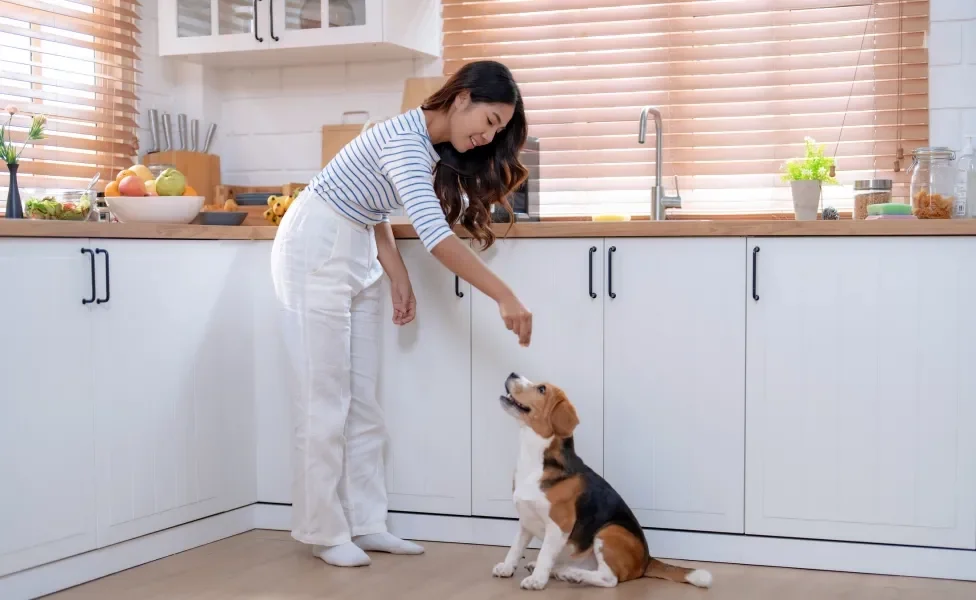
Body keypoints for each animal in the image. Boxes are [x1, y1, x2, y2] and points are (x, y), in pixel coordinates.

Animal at [496, 372, 708, 592]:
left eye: (541, 389)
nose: (512, 373)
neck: (535, 459)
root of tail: (647, 560)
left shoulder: (559, 524)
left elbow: (545, 553)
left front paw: (537, 580)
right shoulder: (525, 521)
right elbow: (515, 547)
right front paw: (507, 567)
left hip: (609, 531)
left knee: (609, 579)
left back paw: (572, 574)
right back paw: (558, 570)